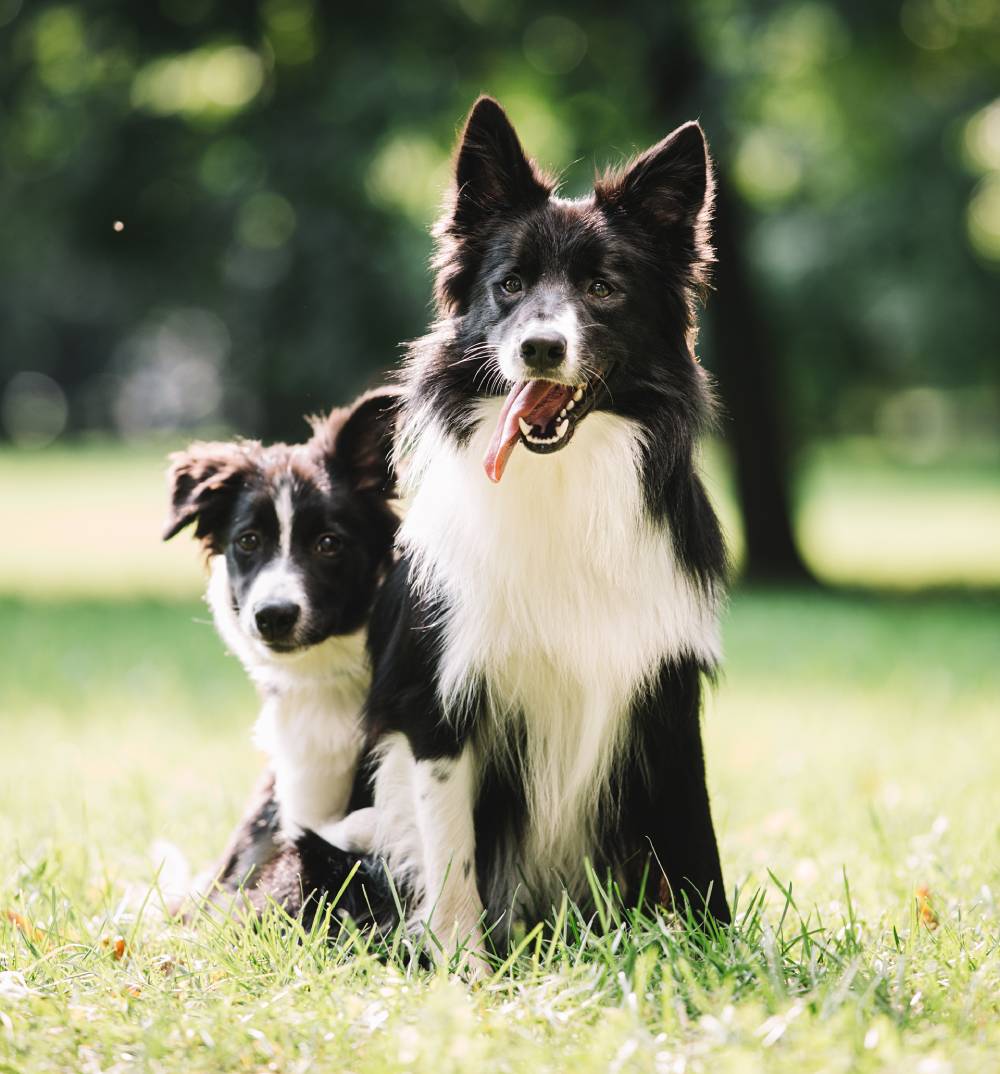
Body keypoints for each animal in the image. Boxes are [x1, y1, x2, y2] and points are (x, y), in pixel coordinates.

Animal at [363, 98, 730, 958]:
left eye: (602, 288)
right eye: (510, 285)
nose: (539, 346)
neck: (561, 477)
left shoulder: (665, 694)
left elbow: (697, 850)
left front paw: (721, 951)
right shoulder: (436, 704)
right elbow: (454, 864)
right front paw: (464, 969)